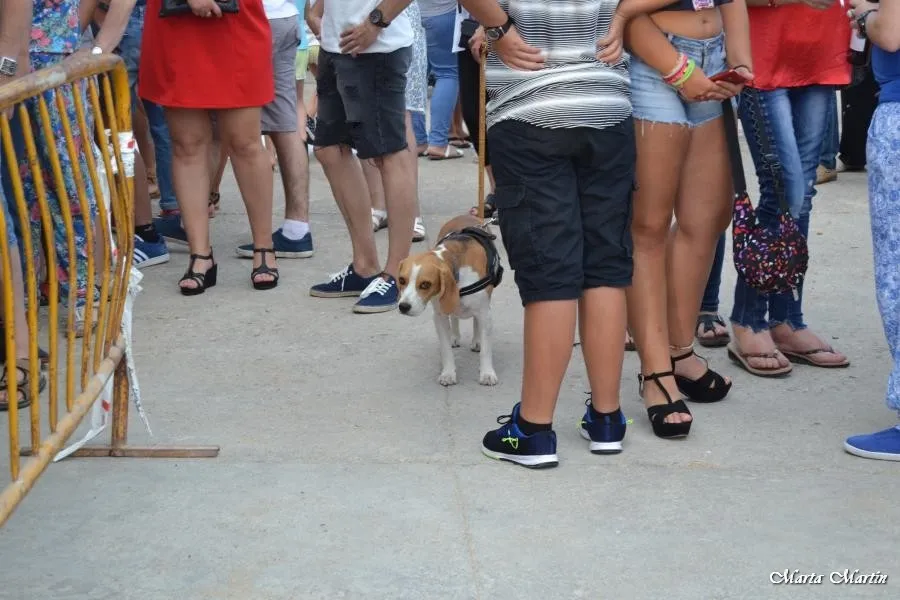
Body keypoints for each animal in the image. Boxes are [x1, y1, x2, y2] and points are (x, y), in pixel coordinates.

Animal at [397, 214, 504, 387]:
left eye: (425, 284)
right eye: (401, 280)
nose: (403, 307)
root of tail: (466, 215)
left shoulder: (485, 314)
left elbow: (486, 350)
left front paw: (487, 373)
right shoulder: (440, 316)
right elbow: (446, 349)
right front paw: (448, 373)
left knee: (475, 322)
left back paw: (477, 340)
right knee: (454, 316)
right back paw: (454, 336)